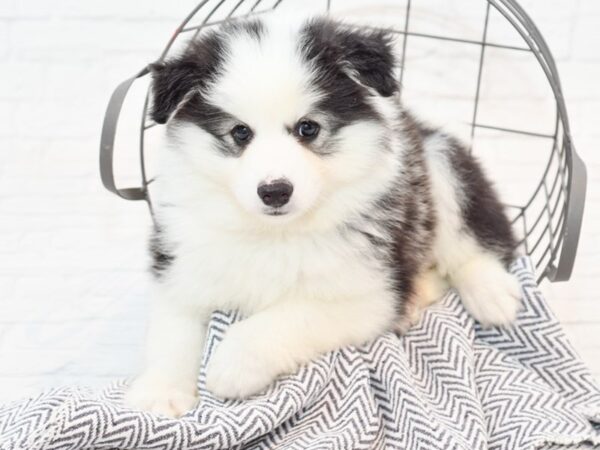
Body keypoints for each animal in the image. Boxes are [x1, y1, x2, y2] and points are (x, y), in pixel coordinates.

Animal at [125, 17, 520, 418]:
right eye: (240, 132)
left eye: (308, 128)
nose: (275, 191)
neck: (273, 233)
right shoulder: (180, 261)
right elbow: (172, 330)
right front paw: (160, 393)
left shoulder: (367, 294)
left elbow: (286, 317)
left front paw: (232, 365)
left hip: (441, 159)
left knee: (476, 234)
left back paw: (490, 293)